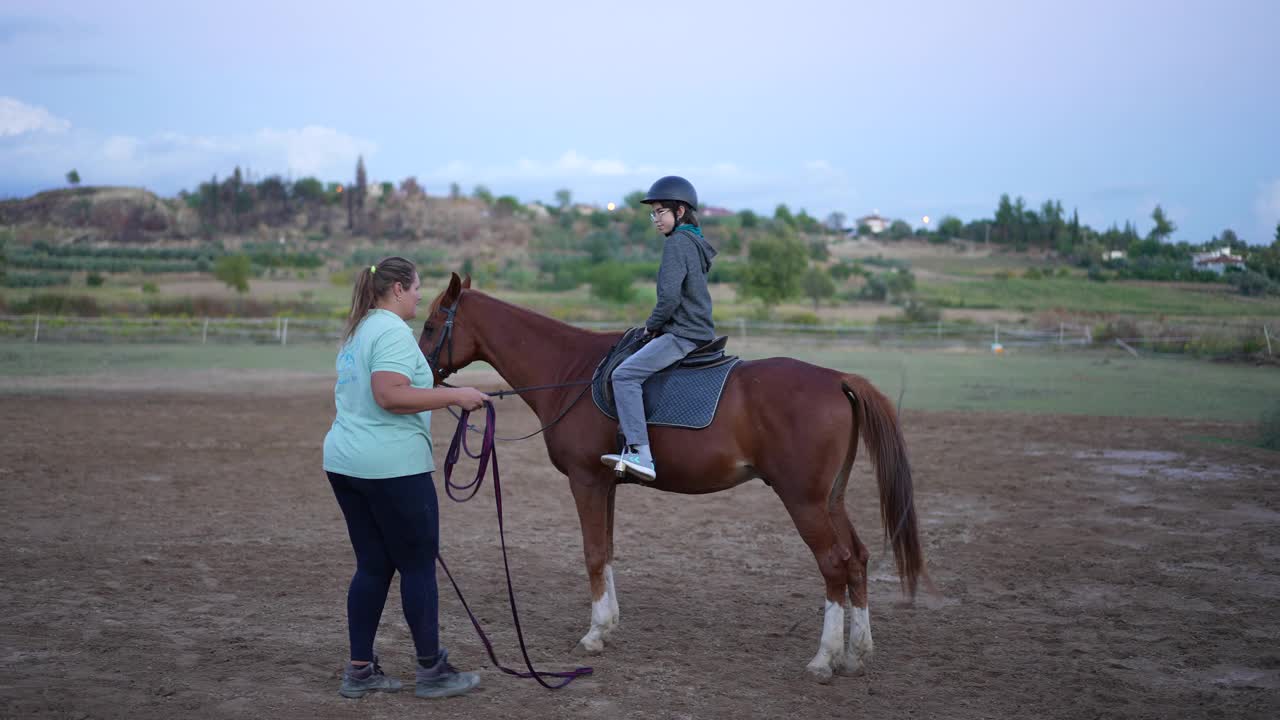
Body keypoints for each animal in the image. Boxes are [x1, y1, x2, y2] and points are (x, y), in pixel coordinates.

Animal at [424, 272, 926, 676]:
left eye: (430, 326)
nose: (422, 375)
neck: (572, 372)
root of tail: (838, 379)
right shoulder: (605, 485)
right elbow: (607, 551)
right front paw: (609, 625)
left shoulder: (585, 480)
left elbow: (592, 553)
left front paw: (594, 634)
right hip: (830, 500)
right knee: (857, 559)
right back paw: (855, 655)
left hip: (803, 501)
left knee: (834, 564)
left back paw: (824, 658)